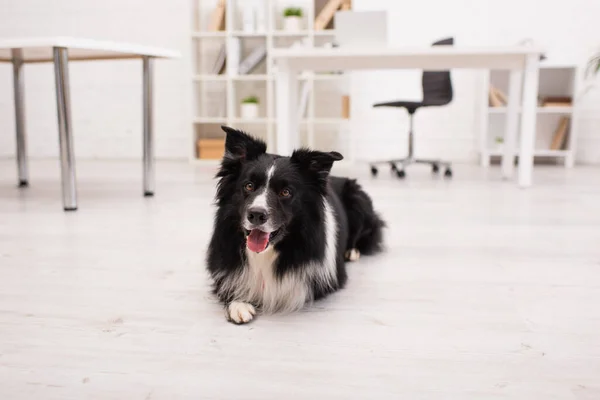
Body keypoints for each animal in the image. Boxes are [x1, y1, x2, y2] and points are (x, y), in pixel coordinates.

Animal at [206, 126, 384, 324]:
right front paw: (239, 303)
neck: (267, 253)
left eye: (285, 192)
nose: (256, 215)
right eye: (249, 186)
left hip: (359, 201)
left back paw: (352, 251)